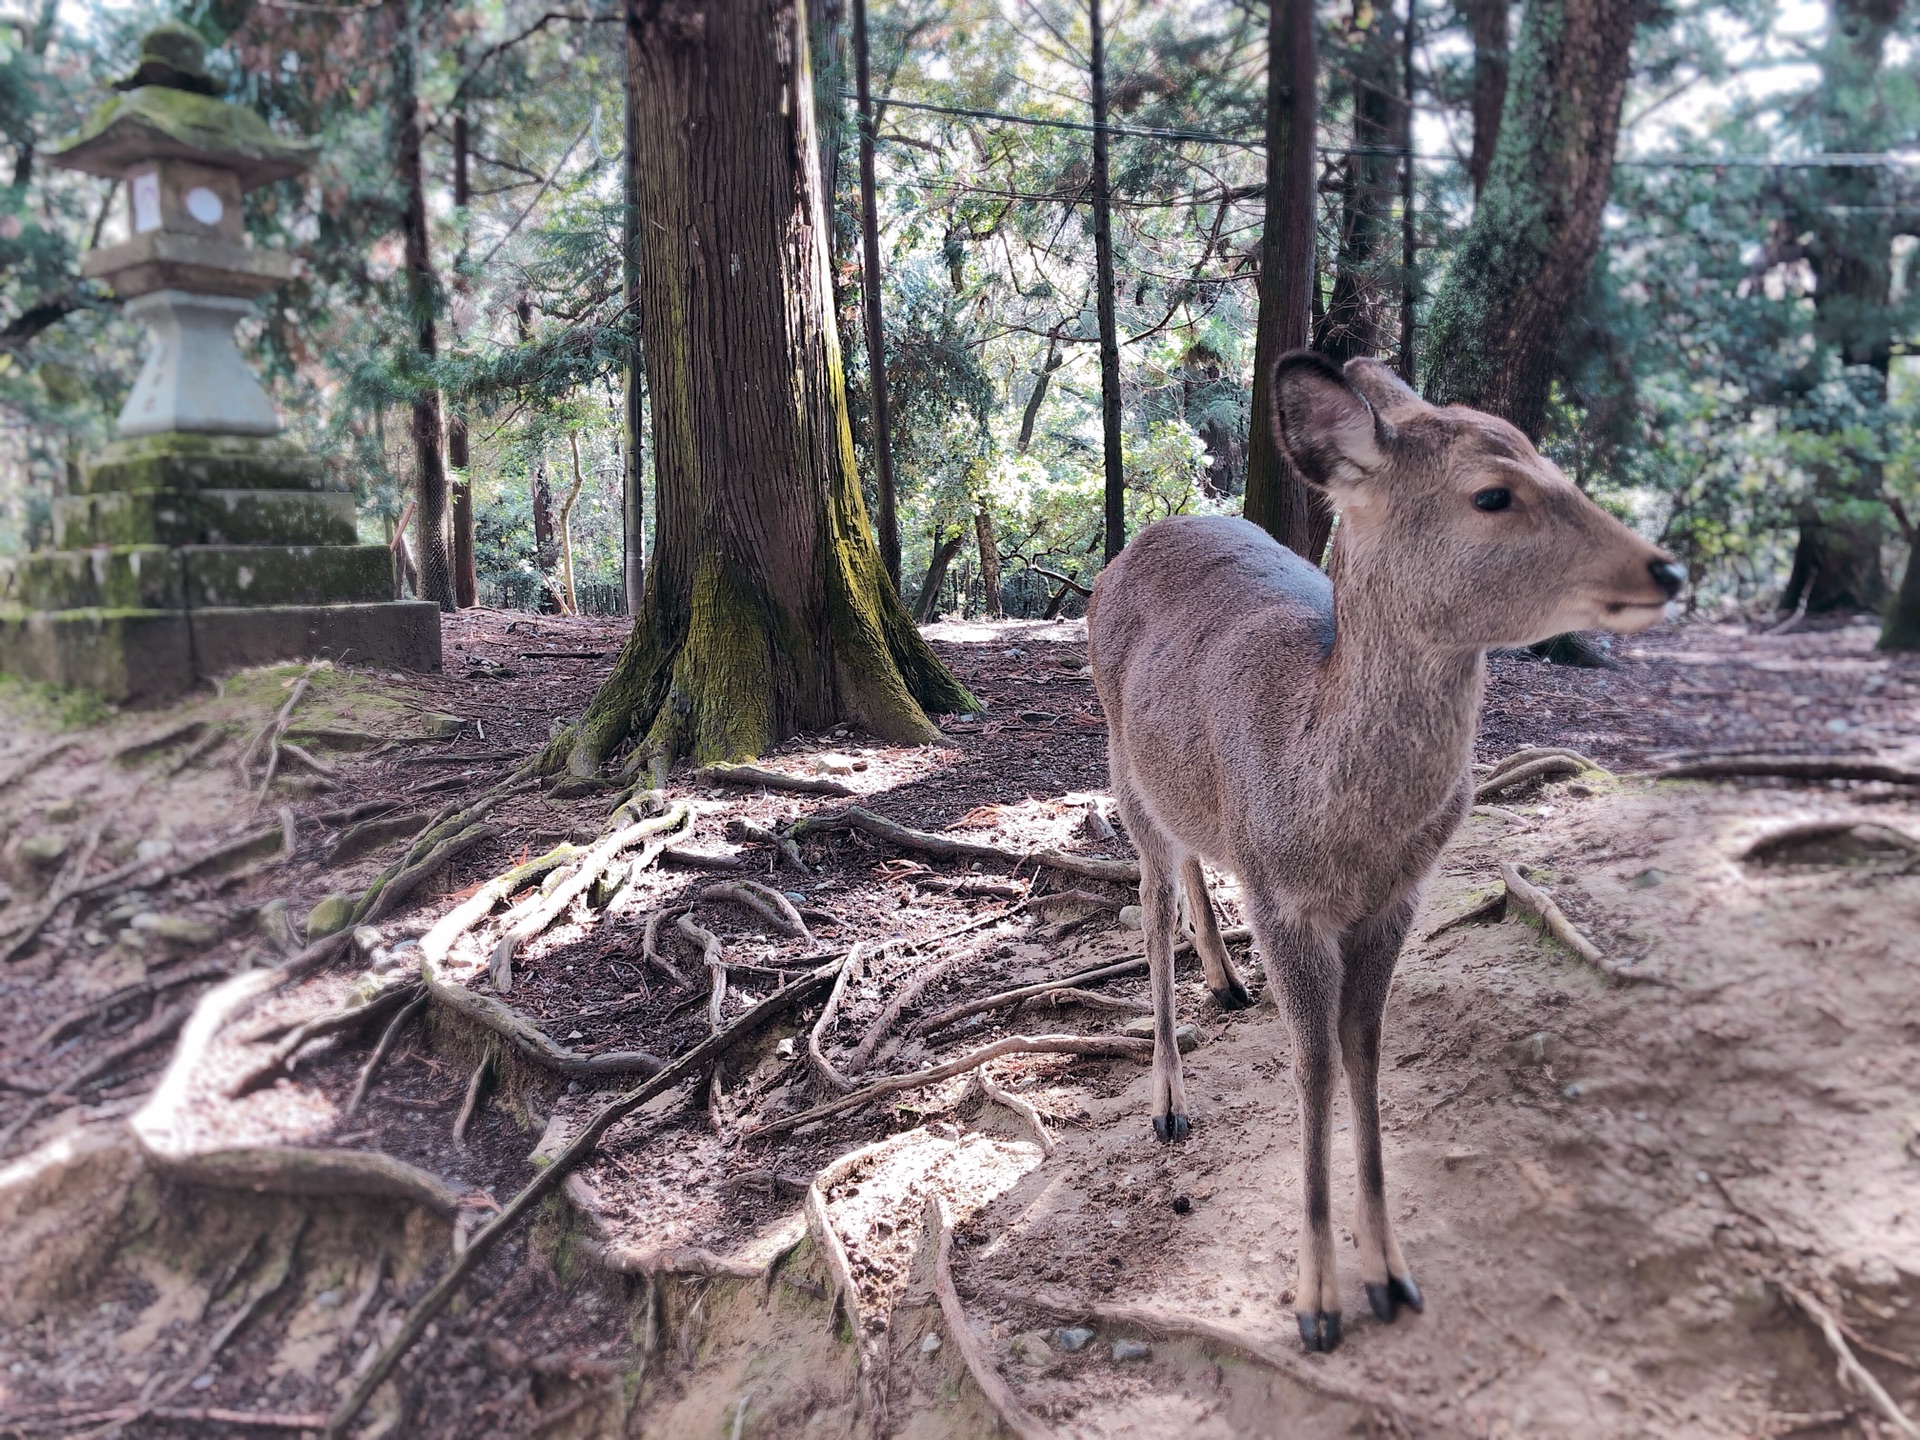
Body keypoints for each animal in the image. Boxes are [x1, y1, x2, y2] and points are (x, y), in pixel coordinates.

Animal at [1090, 349, 1689, 1351]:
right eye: (1492, 494)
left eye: (1553, 457)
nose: (1668, 569)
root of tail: (1129, 549)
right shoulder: (1283, 901)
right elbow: (1314, 1069)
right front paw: (1316, 1303)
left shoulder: (1397, 900)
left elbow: (1365, 1053)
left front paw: (1392, 1277)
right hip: (1119, 761)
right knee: (1150, 897)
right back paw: (1169, 1100)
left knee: (1190, 858)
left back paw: (1227, 980)